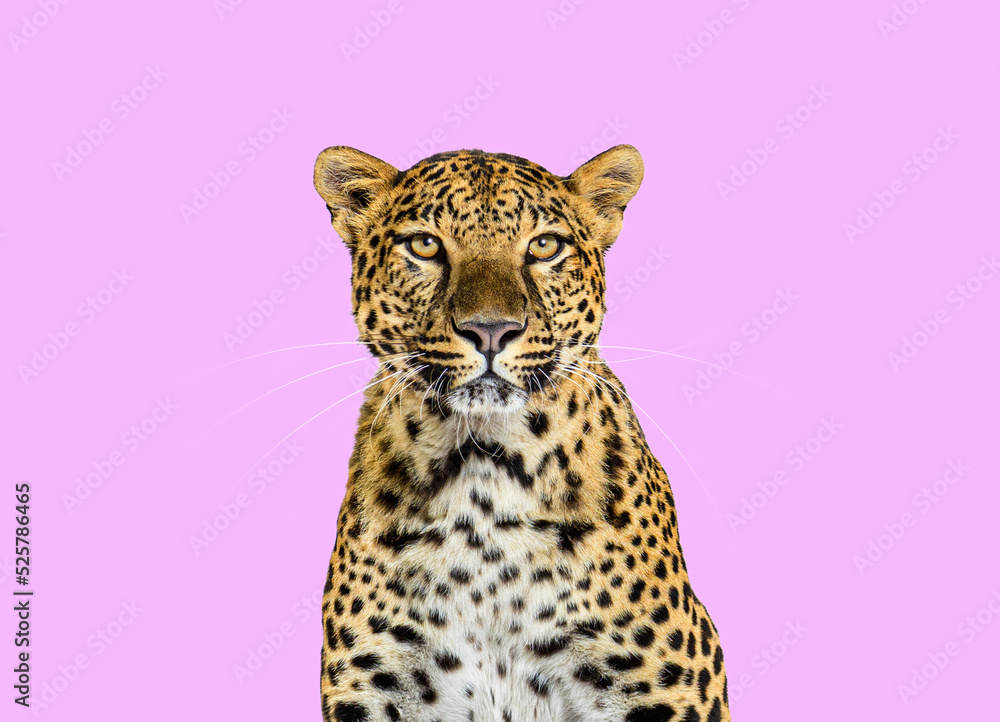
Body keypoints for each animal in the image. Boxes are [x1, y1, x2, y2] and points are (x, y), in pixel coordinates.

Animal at [312, 142, 731, 722]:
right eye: (424, 245)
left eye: (544, 246)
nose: (491, 329)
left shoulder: (662, 687)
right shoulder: (374, 686)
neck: (484, 470)